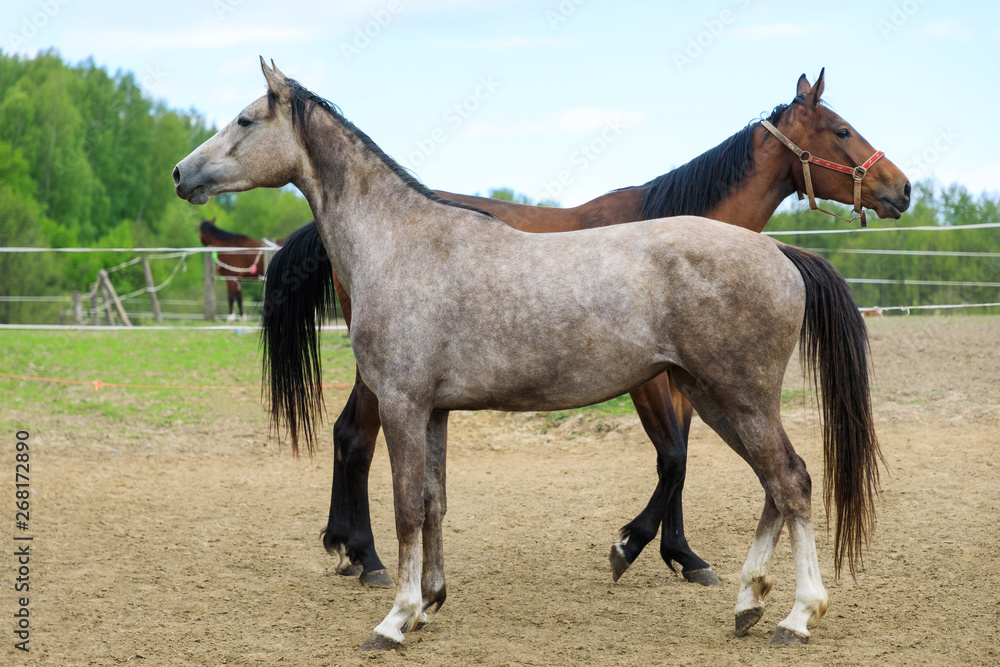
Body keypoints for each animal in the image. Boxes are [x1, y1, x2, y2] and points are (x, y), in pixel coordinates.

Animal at [174, 58, 887, 648]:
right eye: (840, 131)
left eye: (244, 119)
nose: (182, 174)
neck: (401, 241)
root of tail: (779, 252)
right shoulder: (434, 412)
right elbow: (433, 500)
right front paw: (430, 602)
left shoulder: (406, 405)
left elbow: (407, 507)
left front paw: (397, 619)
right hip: (717, 398)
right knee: (777, 484)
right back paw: (747, 603)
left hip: (736, 397)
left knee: (790, 481)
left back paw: (797, 615)